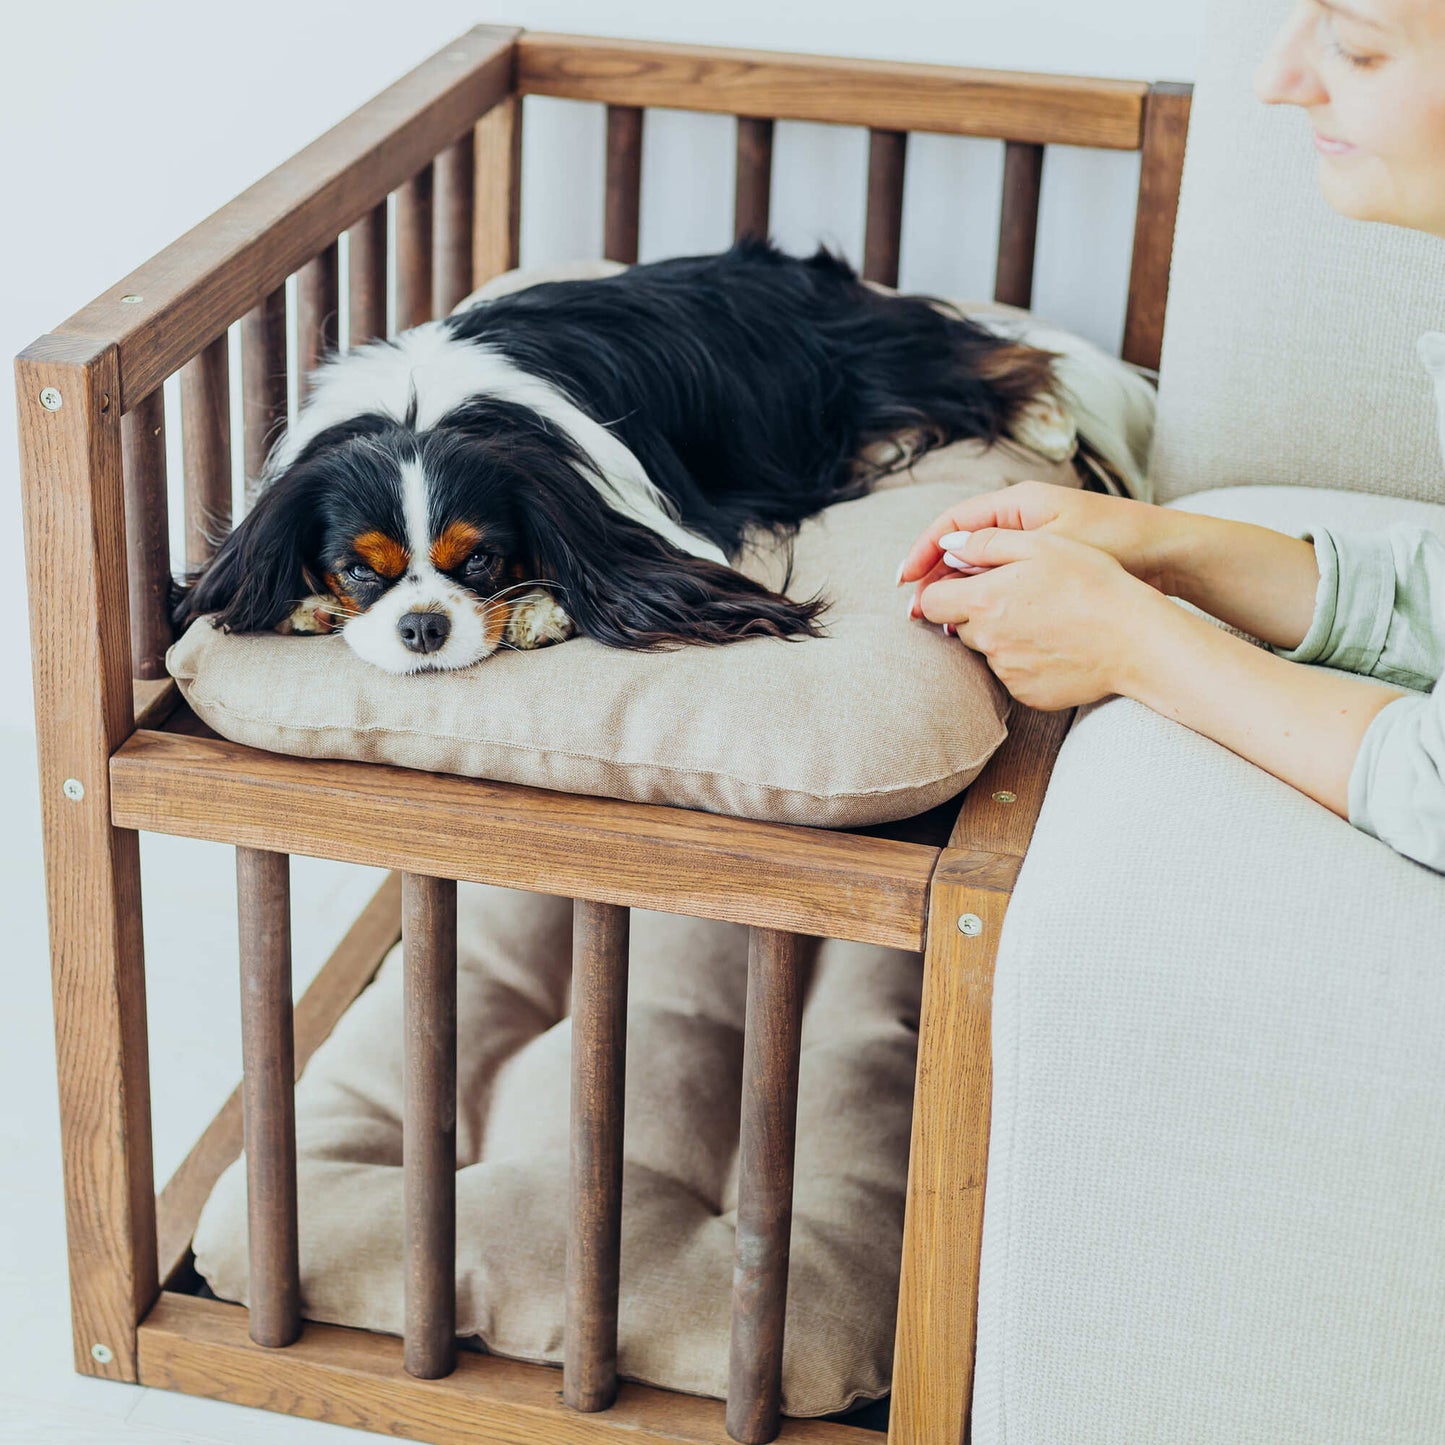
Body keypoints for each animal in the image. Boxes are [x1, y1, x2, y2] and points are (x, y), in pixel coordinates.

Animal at [174, 239, 1069, 673]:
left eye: (482, 560)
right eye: (359, 571)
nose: (423, 627)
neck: (422, 407)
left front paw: (540, 608)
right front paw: (301, 603)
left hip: (852, 365)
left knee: (988, 357)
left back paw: (1049, 419)